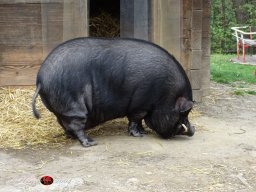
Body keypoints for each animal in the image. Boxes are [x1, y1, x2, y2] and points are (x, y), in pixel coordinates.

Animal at [33, 38, 195, 147]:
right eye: (183, 114)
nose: (193, 130)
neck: (164, 96)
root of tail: (41, 79)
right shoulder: (140, 105)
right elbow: (136, 119)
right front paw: (139, 135)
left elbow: (140, 121)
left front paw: (144, 132)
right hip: (73, 106)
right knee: (76, 125)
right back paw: (91, 142)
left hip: (62, 108)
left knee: (64, 123)